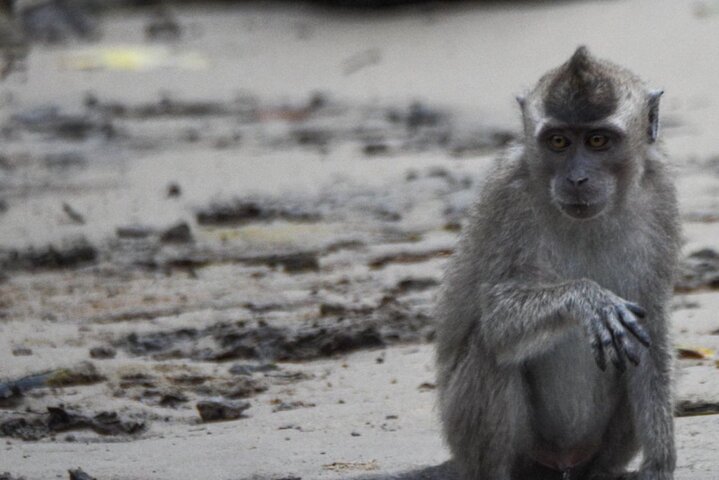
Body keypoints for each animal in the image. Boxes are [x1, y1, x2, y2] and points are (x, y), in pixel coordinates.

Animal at [434, 47, 680, 480]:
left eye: (597, 140)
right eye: (559, 141)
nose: (577, 179)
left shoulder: (660, 195)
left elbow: (652, 333)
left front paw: (660, 464)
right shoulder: (507, 198)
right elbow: (496, 319)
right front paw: (587, 300)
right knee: (490, 349)